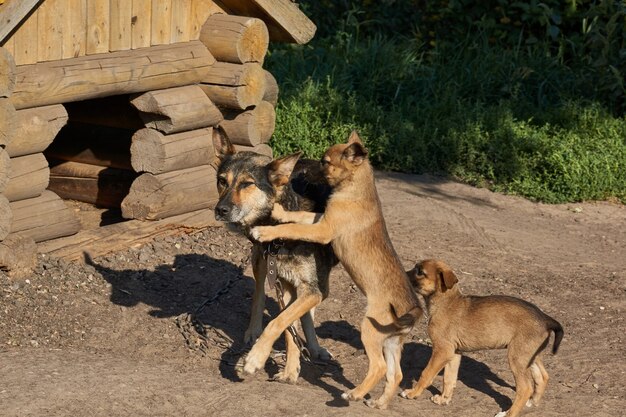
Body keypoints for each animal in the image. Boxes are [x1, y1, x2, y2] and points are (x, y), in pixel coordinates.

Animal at [211, 130, 336, 384]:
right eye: (222, 181)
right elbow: (286, 326)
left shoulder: (311, 289)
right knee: (259, 295)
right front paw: (289, 369)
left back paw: (315, 347)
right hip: (259, 262)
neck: (280, 231)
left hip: (318, 284)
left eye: (247, 184)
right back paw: (253, 331)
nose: (220, 210)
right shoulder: (282, 283)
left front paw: (256, 359)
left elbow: (281, 321)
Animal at [249, 131, 420, 410]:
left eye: (325, 162)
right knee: (396, 374)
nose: (301, 173)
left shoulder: (323, 230)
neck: (356, 189)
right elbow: (299, 217)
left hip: (370, 331)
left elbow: (294, 228)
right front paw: (280, 211)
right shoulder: (320, 220)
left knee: (379, 368)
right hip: (391, 342)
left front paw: (265, 231)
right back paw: (380, 403)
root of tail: (414, 308)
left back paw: (354, 394)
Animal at [402, 258, 564, 414]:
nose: (402, 273)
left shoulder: (442, 350)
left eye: (420, 272)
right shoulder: (453, 353)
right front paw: (444, 399)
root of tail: (545, 318)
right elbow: (449, 379)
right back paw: (532, 402)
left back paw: (508, 413)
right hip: (529, 355)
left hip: (517, 357)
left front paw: (412, 393)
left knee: (525, 388)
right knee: (543, 377)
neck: (445, 301)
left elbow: (426, 373)